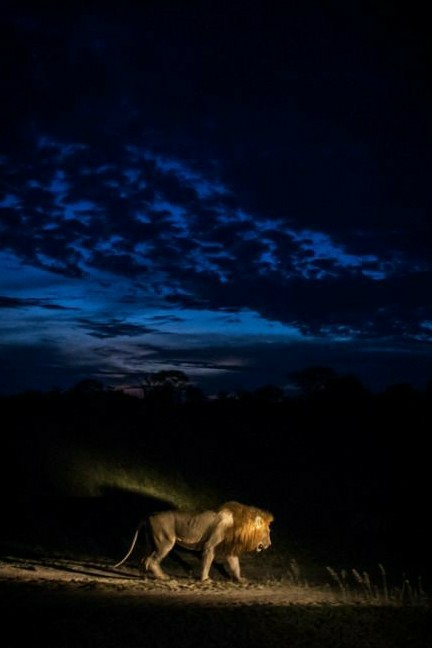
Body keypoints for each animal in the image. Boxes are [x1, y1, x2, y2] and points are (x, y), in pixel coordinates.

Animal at [114, 502, 274, 584]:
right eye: (267, 532)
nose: (270, 544)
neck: (240, 524)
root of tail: (150, 514)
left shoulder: (230, 550)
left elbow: (235, 565)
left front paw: (240, 579)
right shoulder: (210, 545)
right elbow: (207, 562)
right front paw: (205, 579)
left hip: (152, 542)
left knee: (144, 559)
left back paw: (144, 576)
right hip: (165, 542)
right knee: (151, 561)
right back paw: (163, 577)